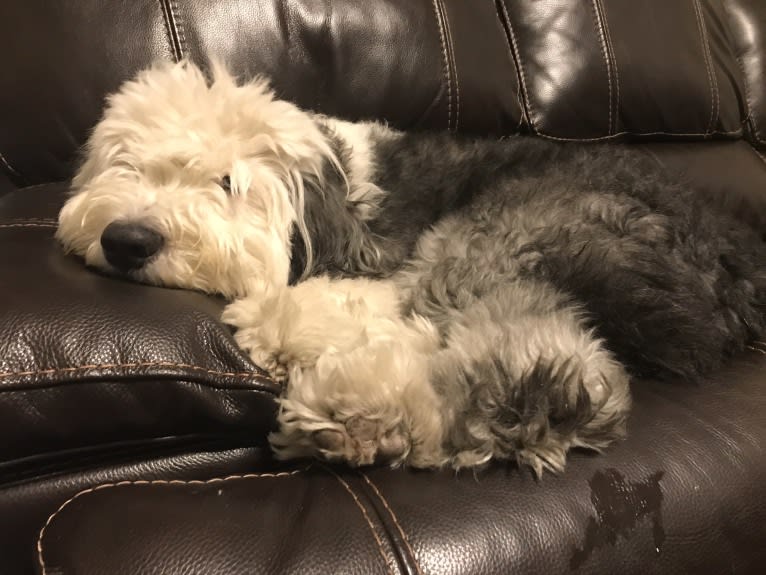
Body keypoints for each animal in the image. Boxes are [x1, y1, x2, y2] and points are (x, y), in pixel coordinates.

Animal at [55, 62, 766, 476]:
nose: (127, 240)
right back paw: (365, 424)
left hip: (503, 231)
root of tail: (732, 266)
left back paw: (349, 405)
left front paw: (283, 322)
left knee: (536, 377)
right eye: (125, 163)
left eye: (227, 182)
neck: (330, 191)